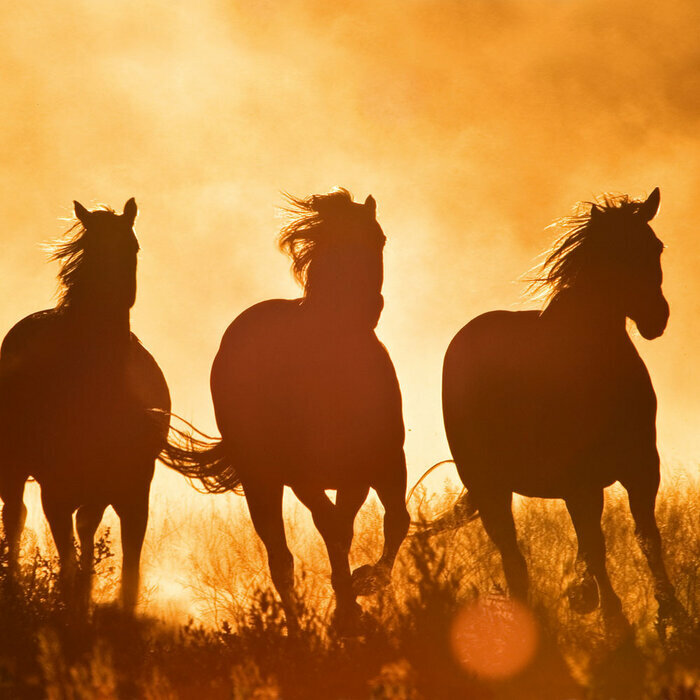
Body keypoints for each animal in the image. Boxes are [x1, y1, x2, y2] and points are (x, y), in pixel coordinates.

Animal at [0, 199, 170, 612]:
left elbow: (129, 573)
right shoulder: (55, 493)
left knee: (85, 527)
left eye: (133, 247)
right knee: (14, 518)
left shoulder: (133, 491)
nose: (110, 300)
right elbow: (66, 564)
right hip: (14, 470)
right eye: (91, 250)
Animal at [162, 188, 410, 631]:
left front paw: (362, 587)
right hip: (261, 482)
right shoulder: (303, 475)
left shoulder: (377, 464)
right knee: (281, 560)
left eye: (379, 239)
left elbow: (391, 521)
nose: (369, 309)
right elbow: (332, 529)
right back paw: (296, 630)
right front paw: (348, 609)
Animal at [441, 188, 684, 633]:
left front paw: (670, 611)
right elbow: (596, 544)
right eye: (614, 253)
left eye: (655, 246)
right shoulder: (579, 481)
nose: (656, 318)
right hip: (490, 487)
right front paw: (614, 618)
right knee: (513, 557)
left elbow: (647, 537)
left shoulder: (642, 468)